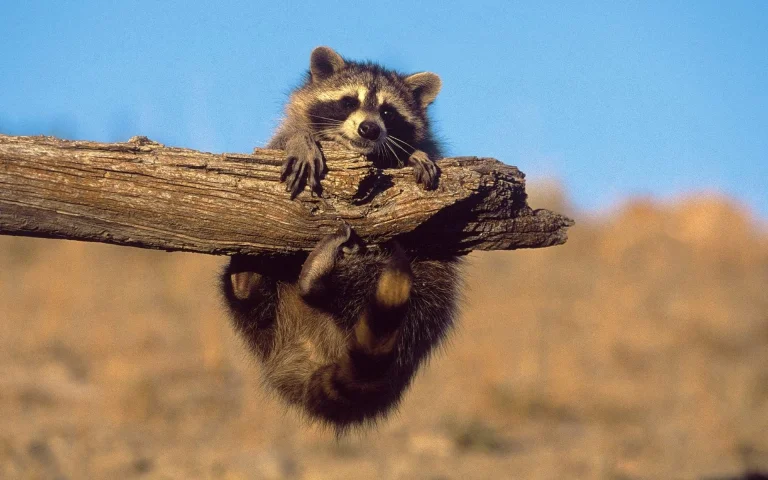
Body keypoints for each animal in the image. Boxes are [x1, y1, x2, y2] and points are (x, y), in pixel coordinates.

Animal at [221, 47, 462, 431]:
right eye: (350, 102)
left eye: (388, 112)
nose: (369, 128)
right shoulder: (278, 141)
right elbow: (286, 140)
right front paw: (302, 141)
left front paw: (413, 155)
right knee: (249, 298)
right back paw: (248, 276)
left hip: (426, 293)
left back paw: (317, 281)